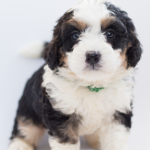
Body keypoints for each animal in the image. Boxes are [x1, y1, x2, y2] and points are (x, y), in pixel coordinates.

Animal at [7, 0, 142, 150]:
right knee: (26, 127)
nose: (92, 56)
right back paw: (20, 145)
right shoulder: (60, 116)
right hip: (29, 108)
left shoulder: (118, 113)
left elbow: (115, 141)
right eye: (75, 36)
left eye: (110, 34)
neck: (92, 85)